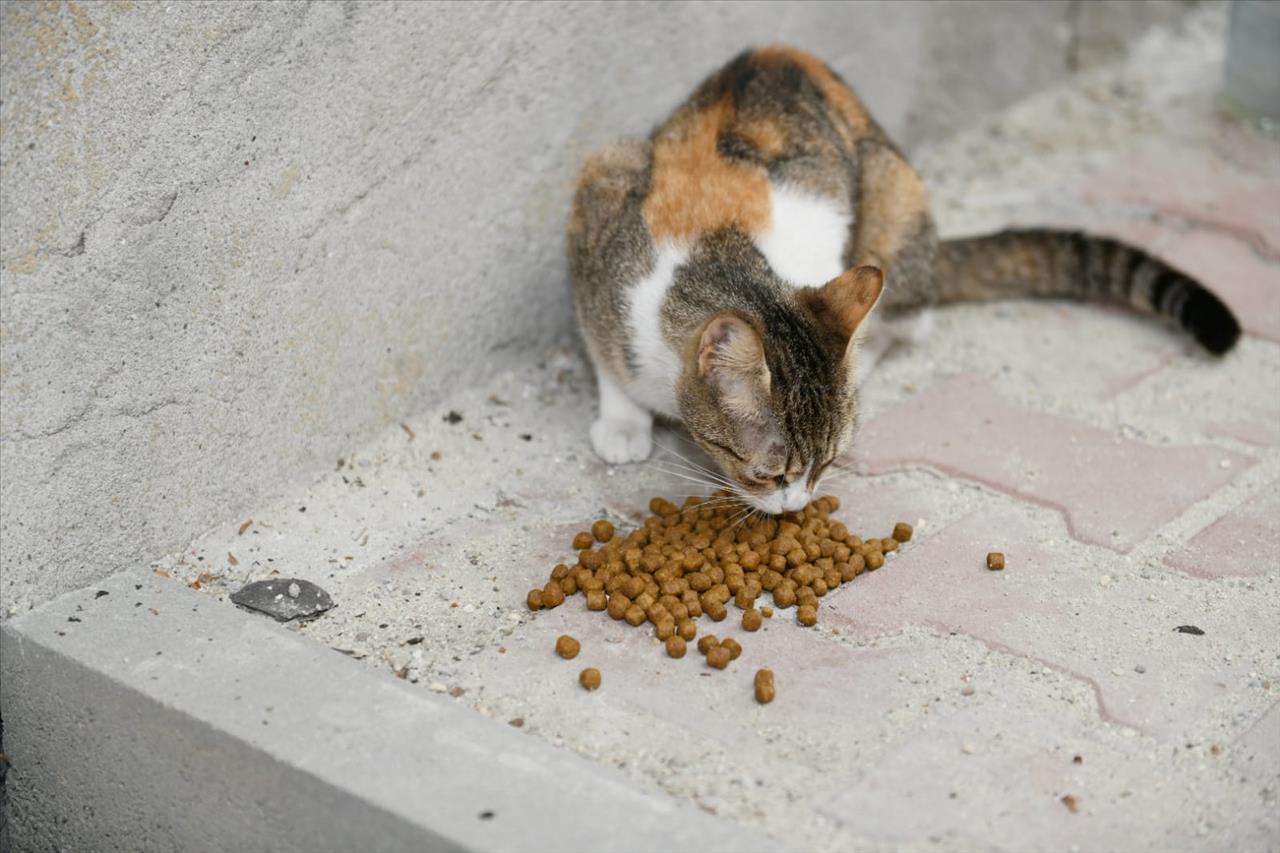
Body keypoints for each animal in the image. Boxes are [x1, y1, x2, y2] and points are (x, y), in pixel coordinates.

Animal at [568, 44, 1239, 512]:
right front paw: (622, 420)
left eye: (826, 465)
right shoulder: (596, 221)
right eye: (769, 473)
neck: (724, 255)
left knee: (910, 318)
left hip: (894, 199)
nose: (797, 505)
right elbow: (606, 356)